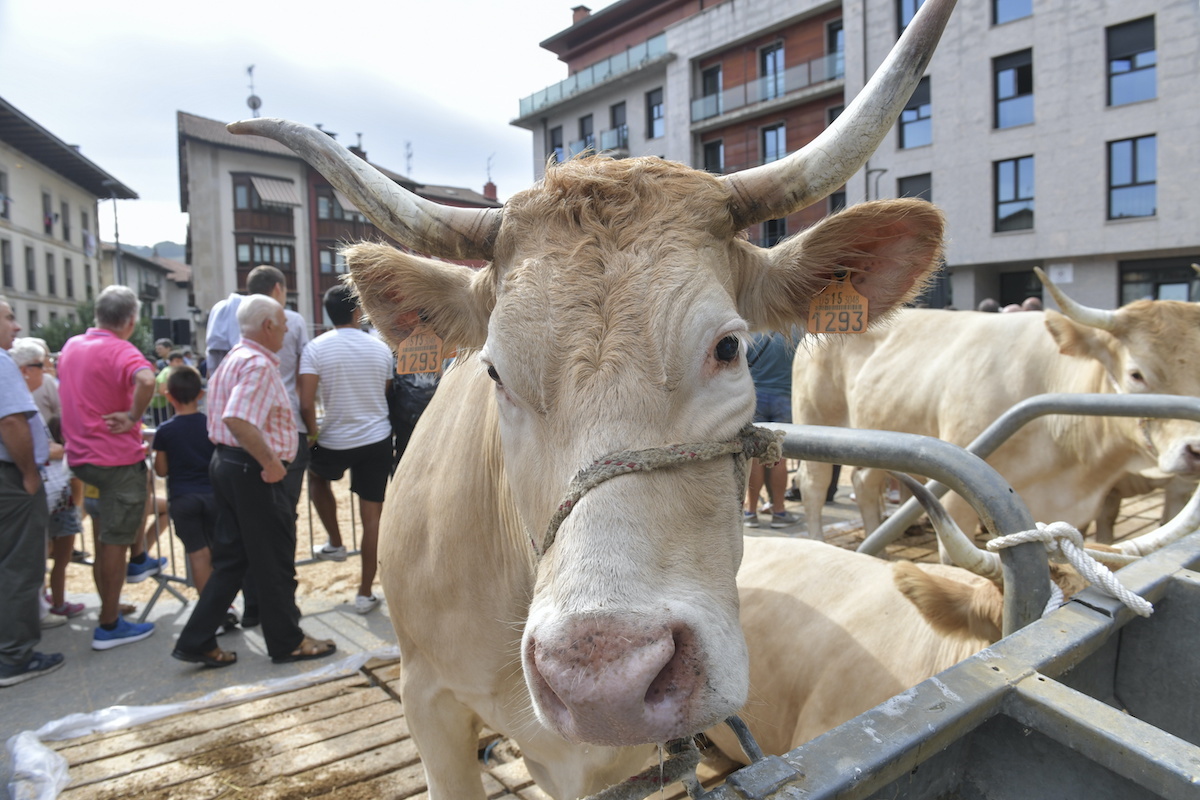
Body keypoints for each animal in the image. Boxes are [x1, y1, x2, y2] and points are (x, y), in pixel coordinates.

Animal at [793, 273, 1200, 545]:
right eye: (1136, 373)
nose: (1195, 450)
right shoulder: (957, 495)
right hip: (817, 419)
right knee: (813, 484)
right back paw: (818, 541)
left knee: (865, 482)